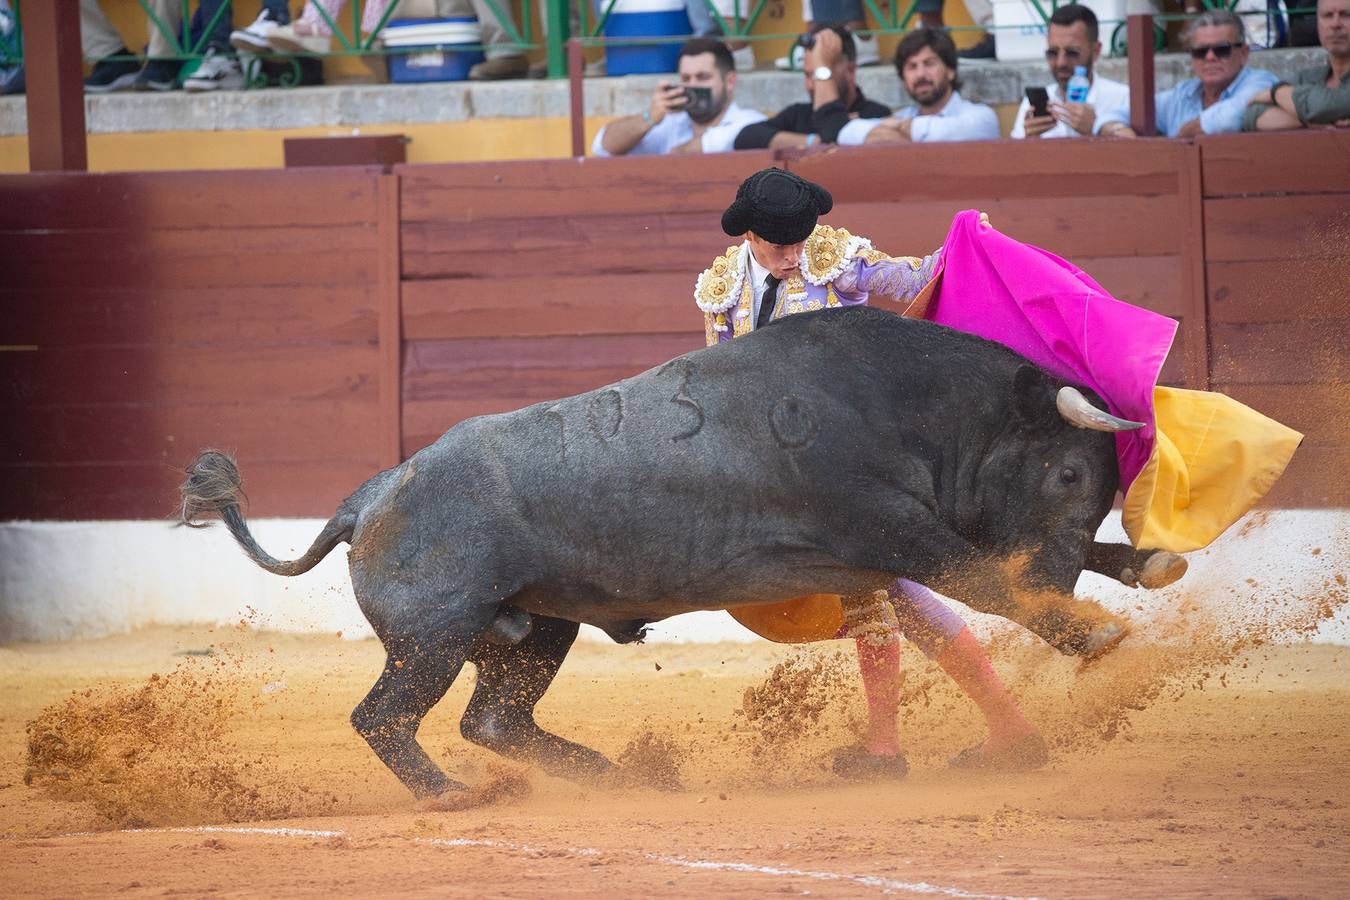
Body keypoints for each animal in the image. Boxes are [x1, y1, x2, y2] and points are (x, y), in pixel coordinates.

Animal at [176, 306, 1150, 798]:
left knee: (494, 719)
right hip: (433, 637)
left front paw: (1140, 570)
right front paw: (1091, 633)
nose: (1055, 579)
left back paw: (618, 777)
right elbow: (982, 577)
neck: (897, 399)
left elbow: (1027, 567)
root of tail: (370, 494)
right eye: (1069, 471)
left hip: (533, 629)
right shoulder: (885, 527)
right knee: (384, 716)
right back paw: (455, 794)